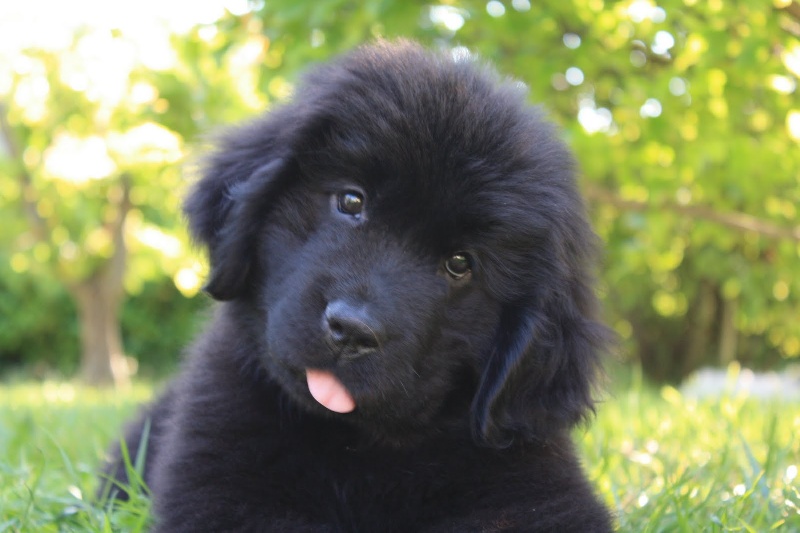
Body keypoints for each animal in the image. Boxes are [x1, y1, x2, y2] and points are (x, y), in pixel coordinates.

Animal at [101, 40, 613, 532]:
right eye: (351, 201)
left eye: (460, 264)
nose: (351, 331)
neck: (355, 447)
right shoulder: (219, 487)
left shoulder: (537, 493)